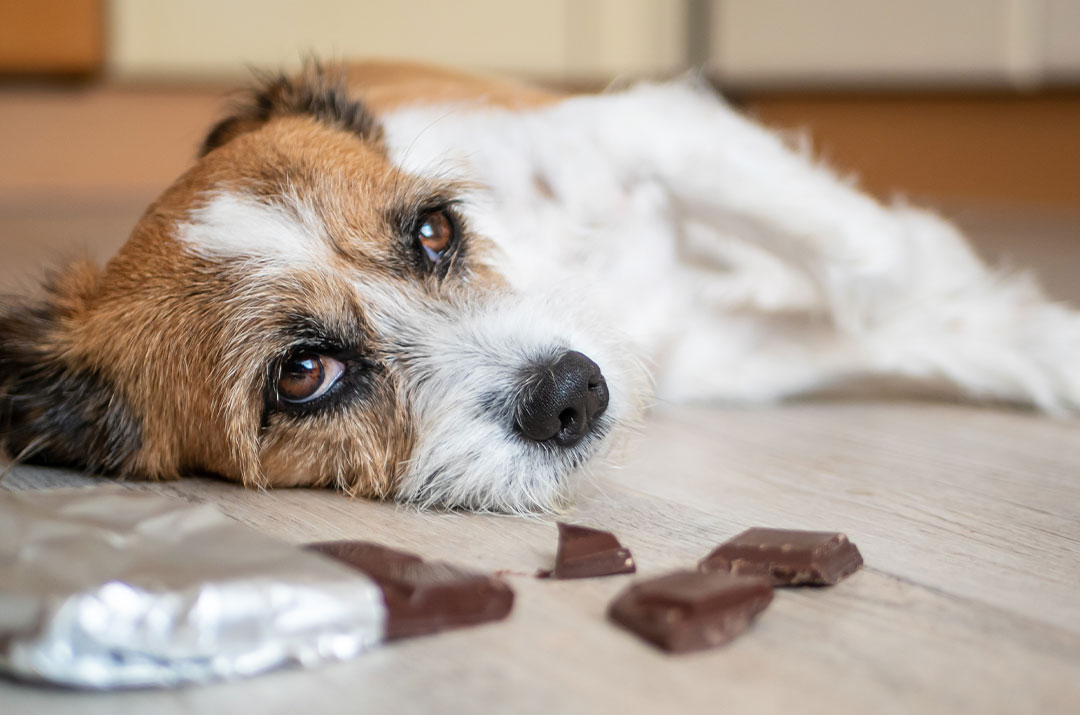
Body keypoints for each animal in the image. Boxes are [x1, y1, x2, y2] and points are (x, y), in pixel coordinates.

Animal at [2, 60, 1080, 509]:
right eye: (301, 374)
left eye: (434, 230)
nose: (573, 391)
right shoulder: (722, 354)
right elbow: (910, 322)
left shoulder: (650, 130)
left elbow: (873, 260)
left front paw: (950, 275)